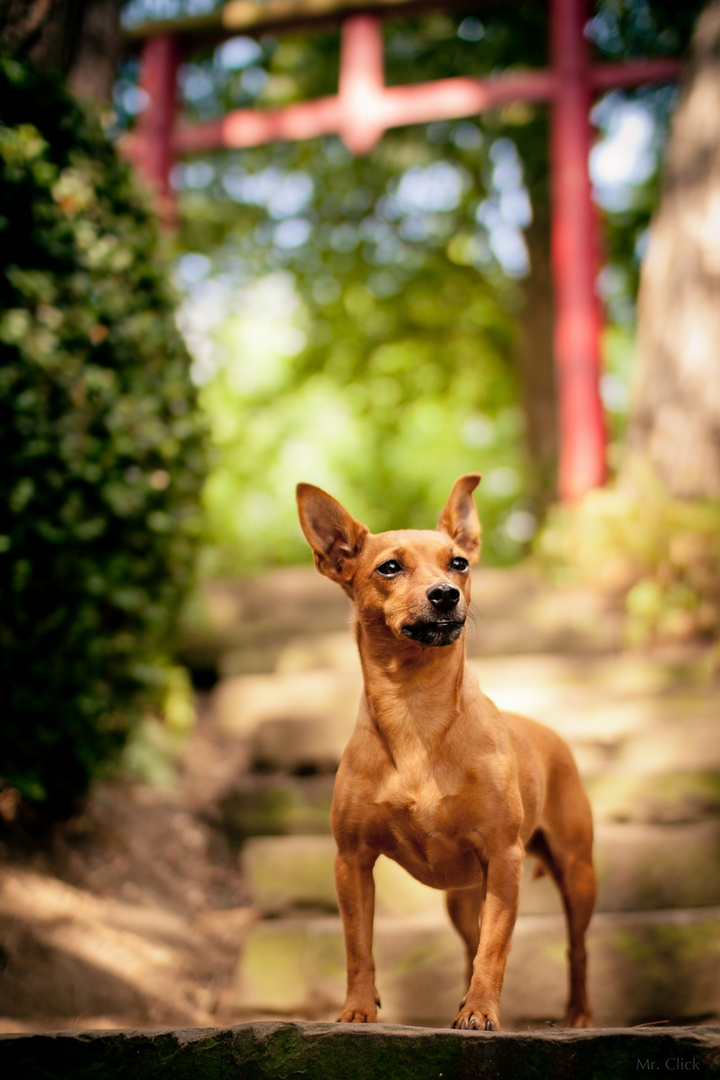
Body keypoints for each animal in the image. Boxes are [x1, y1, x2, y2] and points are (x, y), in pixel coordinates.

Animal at [295, 473, 595, 1028]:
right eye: (389, 566)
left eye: (458, 562)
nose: (446, 594)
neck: (417, 710)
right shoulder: (352, 864)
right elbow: (358, 947)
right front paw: (358, 1009)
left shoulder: (504, 860)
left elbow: (495, 950)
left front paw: (481, 1012)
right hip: (462, 899)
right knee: (467, 945)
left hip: (576, 873)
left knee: (575, 947)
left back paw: (578, 1015)